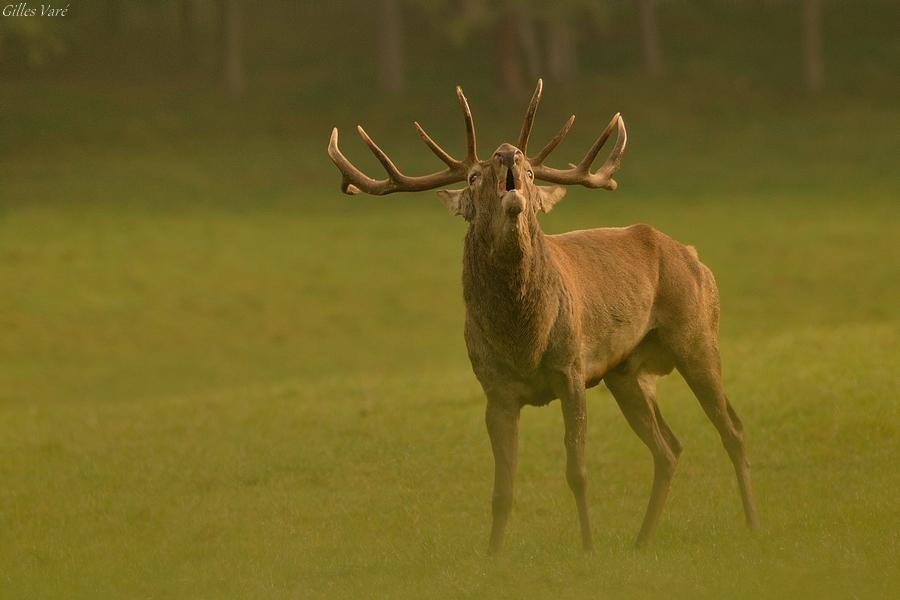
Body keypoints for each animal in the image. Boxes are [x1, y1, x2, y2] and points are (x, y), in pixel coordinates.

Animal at [327, 80, 758, 553]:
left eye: (533, 174)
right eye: (474, 177)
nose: (507, 153)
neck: (524, 342)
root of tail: (695, 256)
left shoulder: (571, 369)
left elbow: (577, 472)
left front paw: (588, 547)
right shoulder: (493, 388)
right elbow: (502, 489)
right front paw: (493, 555)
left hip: (697, 335)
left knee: (732, 429)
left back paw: (753, 525)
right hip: (626, 371)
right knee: (669, 448)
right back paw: (641, 541)